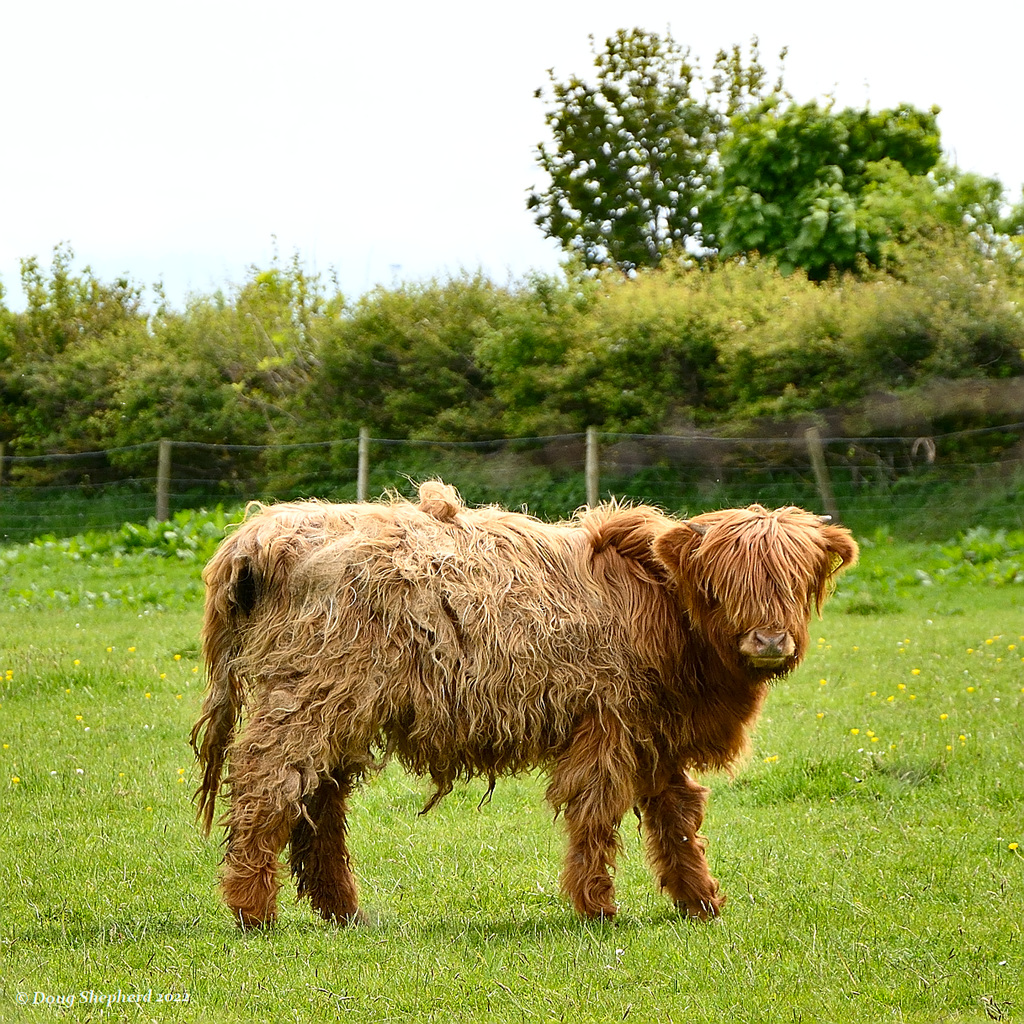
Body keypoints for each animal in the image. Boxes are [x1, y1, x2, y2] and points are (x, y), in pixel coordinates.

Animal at [190, 481, 856, 929]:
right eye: (722, 584)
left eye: (797, 580)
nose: (768, 641)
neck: (661, 610)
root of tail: (262, 531)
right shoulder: (608, 724)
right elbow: (597, 813)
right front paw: (598, 907)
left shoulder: (655, 735)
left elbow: (677, 818)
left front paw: (700, 901)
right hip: (311, 697)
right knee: (269, 784)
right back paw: (254, 910)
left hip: (338, 708)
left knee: (320, 801)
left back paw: (343, 911)